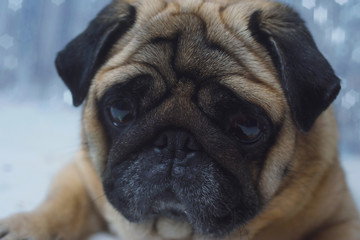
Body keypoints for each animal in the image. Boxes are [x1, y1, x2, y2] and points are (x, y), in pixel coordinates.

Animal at [0, 0, 360, 240]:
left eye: (247, 127)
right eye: (120, 111)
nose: (175, 141)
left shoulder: (341, 220)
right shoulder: (80, 175)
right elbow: (62, 205)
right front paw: (26, 227)